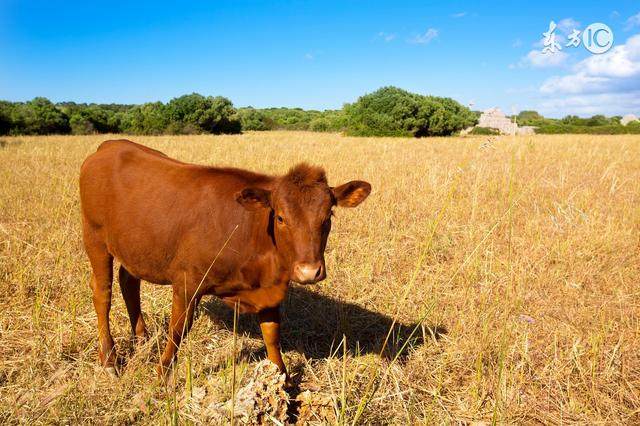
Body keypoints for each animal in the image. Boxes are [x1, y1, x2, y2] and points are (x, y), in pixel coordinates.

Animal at [80, 139, 370, 376]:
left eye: (328, 216)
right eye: (280, 217)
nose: (309, 272)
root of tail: (110, 146)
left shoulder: (268, 290)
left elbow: (272, 335)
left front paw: (283, 380)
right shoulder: (186, 283)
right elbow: (178, 330)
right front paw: (162, 376)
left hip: (135, 247)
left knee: (129, 282)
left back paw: (142, 339)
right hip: (95, 238)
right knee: (102, 293)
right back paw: (109, 359)